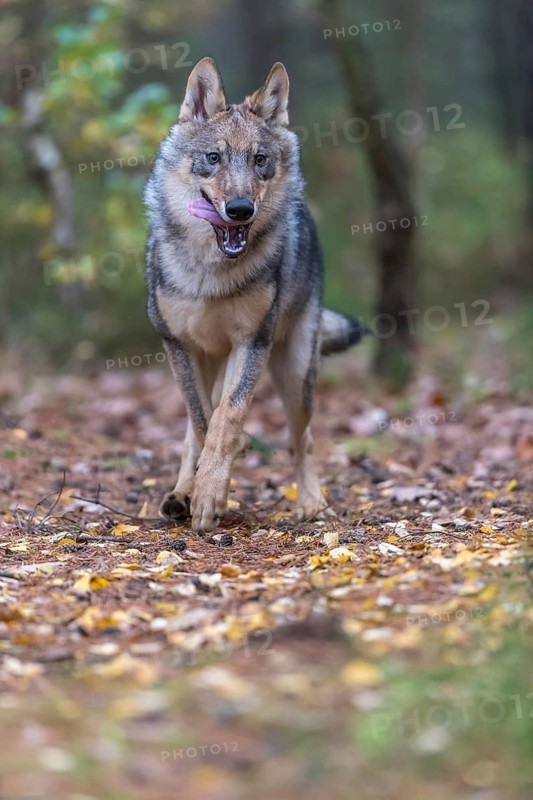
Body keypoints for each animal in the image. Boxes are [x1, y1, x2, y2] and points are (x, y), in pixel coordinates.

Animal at [144, 57, 366, 533]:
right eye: (214, 158)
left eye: (259, 160)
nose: (240, 209)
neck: (210, 272)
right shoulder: (177, 345)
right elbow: (202, 422)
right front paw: (198, 491)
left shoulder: (251, 343)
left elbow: (227, 417)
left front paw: (211, 495)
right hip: (209, 360)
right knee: (192, 425)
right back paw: (179, 493)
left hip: (295, 375)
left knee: (302, 439)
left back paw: (312, 504)